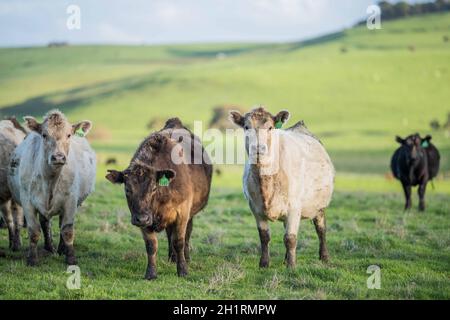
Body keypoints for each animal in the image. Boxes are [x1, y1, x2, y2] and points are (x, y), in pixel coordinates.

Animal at [7, 110, 95, 264]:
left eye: (69, 135)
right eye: (44, 135)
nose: (58, 157)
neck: (50, 181)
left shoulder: (70, 201)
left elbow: (67, 231)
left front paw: (71, 258)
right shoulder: (27, 201)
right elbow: (34, 231)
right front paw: (32, 259)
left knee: (60, 225)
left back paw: (60, 249)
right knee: (45, 222)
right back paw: (49, 247)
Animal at [106, 118, 213, 280]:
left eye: (153, 188)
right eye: (127, 189)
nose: (141, 219)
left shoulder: (182, 213)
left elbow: (179, 241)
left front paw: (183, 269)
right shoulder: (144, 219)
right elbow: (151, 245)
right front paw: (151, 273)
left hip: (190, 214)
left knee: (186, 234)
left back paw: (185, 257)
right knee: (170, 234)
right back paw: (172, 257)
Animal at [229, 107, 334, 268]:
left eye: (270, 127)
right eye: (246, 127)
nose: (258, 148)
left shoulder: (294, 207)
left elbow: (290, 238)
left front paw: (291, 266)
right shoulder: (255, 208)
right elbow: (264, 236)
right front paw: (264, 263)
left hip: (319, 205)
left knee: (321, 229)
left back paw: (324, 256)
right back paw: (285, 259)